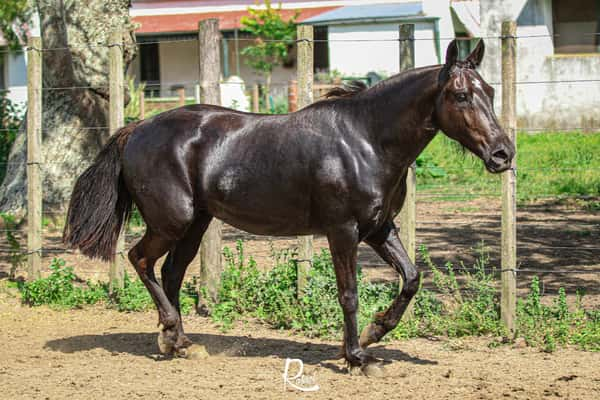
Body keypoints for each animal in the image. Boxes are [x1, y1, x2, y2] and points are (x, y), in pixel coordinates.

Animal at [64, 39, 516, 372]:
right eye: (461, 95)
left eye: (490, 92)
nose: (503, 154)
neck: (366, 140)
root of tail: (138, 127)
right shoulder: (342, 230)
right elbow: (349, 293)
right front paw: (357, 357)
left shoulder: (380, 228)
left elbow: (411, 278)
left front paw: (374, 334)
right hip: (171, 221)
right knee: (140, 259)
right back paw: (172, 333)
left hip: (195, 224)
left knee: (171, 273)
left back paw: (179, 343)